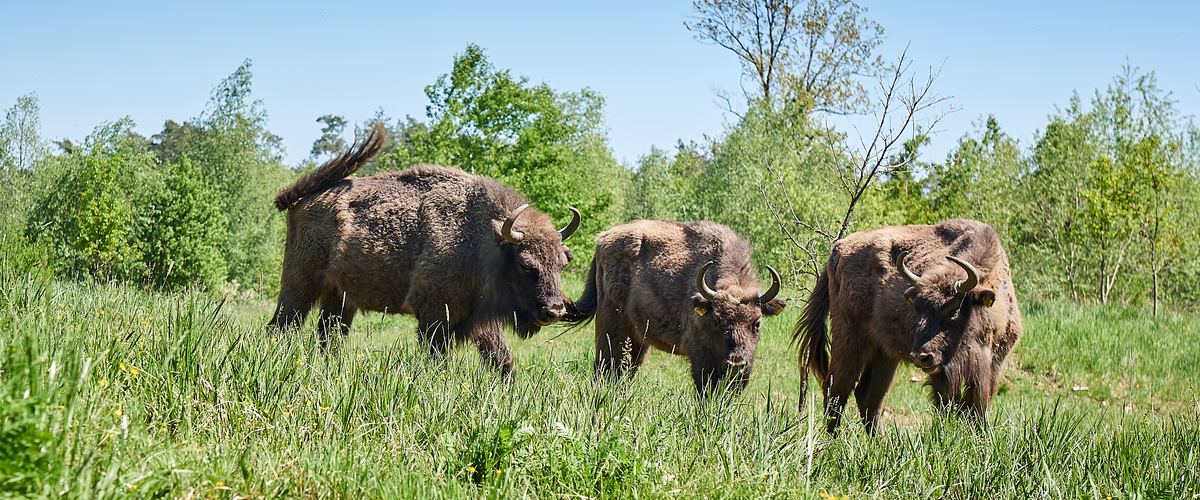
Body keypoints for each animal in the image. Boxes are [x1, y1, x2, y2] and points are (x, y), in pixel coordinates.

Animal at [270, 124, 578, 374]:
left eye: (563, 263)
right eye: (526, 264)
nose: (555, 310)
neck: (483, 237)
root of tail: (299, 199)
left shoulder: (477, 318)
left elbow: (502, 358)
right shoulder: (435, 314)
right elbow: (438, 358)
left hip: (339, 296)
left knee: (329, 335)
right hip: (301, 284)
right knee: (283, 325)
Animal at [561, 220, 787, 395]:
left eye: (757, 323)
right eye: (716, 320)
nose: (736, 363)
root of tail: (603, 239)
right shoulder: (701, 359)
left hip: (638, 338)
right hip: (610, 327)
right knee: (605, 368)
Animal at [796, 218, 1022, 431]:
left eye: (954, 310)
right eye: (917, 307)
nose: (920, 356)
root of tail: (837, 250)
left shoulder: (992, 365)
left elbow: (978, 408)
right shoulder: (943, 374)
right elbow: (947, 406)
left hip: (884, 354)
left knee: (868, 396)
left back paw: (880, 442)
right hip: (850, 340)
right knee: (836, 390)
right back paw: (832, 441)